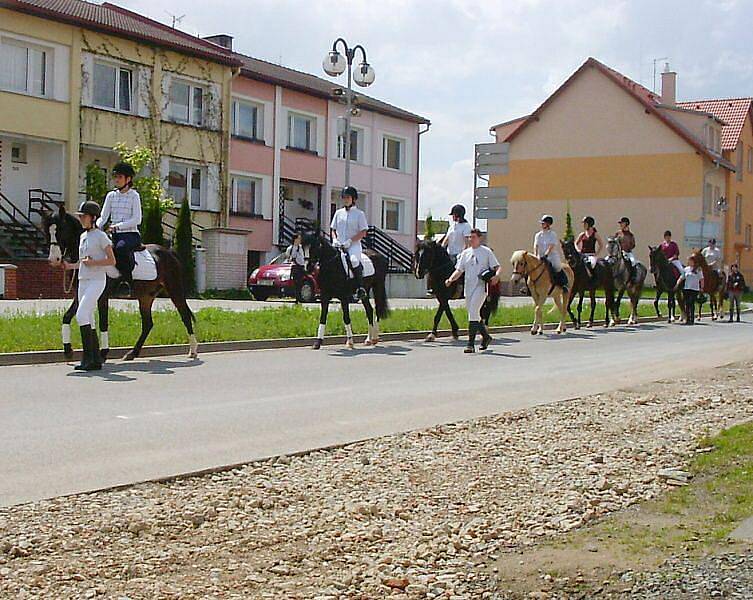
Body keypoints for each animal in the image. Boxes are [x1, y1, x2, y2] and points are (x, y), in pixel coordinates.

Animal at [43, 204, 198, 364]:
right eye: (48, 232)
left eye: (61, 230)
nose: (53, 259)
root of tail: (169, 252)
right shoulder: (80, 295)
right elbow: (67, 316)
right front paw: (68, 351)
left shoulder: (102, 296)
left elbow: (103, 323)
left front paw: (103, 354)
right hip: (145, 297)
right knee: (148, 324)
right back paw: (132, 353)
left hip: (174, 290)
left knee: (185, 316)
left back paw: (192, 351)